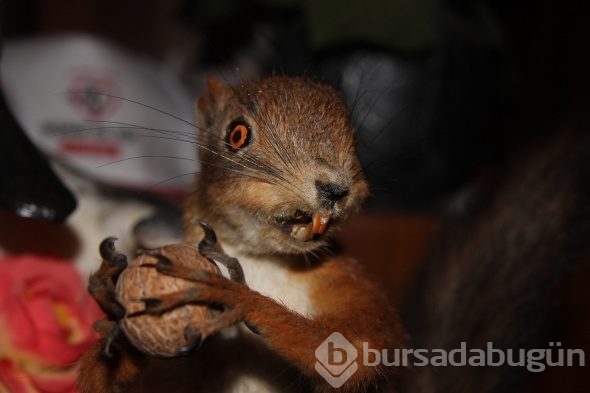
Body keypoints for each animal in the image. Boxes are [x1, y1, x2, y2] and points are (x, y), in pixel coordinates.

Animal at [77, 75, 408, 390]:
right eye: (236, 135)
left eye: (355, 141)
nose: (336, 189)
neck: (259, 258)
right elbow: (99, 381)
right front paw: (114, 314)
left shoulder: (341, 274)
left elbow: (357, 349)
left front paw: (229, 292)